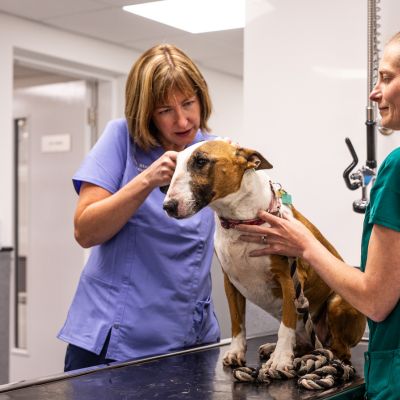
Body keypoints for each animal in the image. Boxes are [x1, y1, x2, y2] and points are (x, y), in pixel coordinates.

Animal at [162, 140, 366, 372]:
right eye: (174, 165)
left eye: (201, 161)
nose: (168, 206)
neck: (240, 220)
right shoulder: (230, 282)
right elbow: (237, 322)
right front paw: (236, 352)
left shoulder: (289, 279)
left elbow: (287, 323)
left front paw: (280, 359)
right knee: (306, 343)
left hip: (337, 302)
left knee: (339, 350)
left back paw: (322, 355)